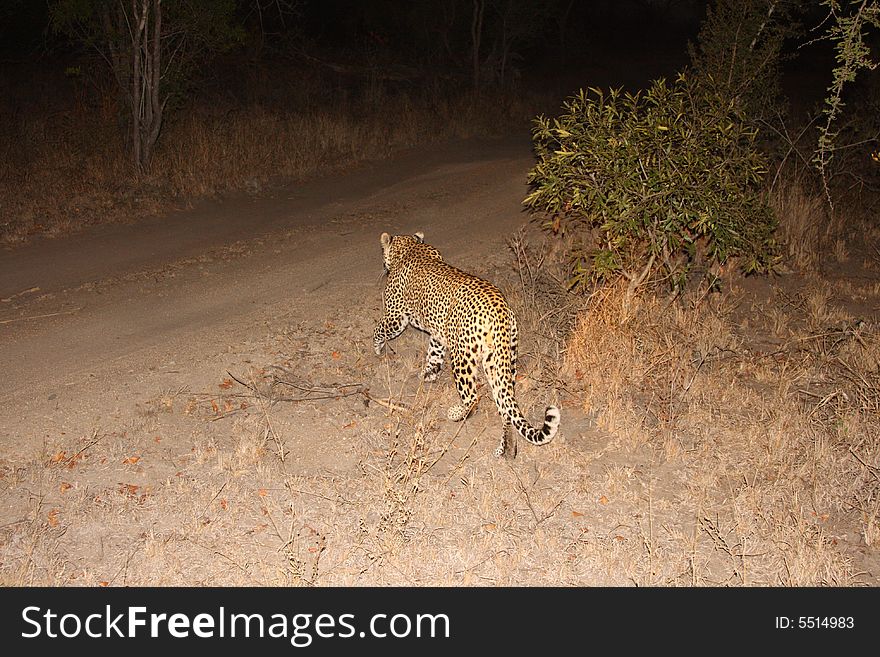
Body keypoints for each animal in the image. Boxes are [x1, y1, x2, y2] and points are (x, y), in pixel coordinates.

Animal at [372, 231, 556, 456]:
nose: (383, 265)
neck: (411, 248)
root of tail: (500, 309)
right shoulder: (438, 333)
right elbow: (434, 355)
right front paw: (428, 375)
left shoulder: (396, 316)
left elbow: (379, 331)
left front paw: (377, 349)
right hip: (500, 359)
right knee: (505, 404)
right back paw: (503, 448)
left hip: (463, 356)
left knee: (472, 396)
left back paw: (455, 413)